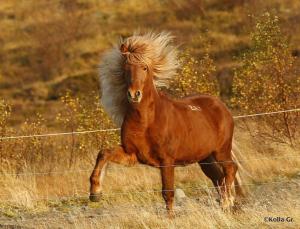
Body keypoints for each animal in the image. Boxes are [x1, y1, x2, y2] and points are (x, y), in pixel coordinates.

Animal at [89, 31, 244, 214]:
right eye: (126, 68)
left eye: (145, 68)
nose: (134, 95)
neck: (147, 121)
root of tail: (221, 106)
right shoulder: (131, 155)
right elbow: (103, 153)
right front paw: (95, 193)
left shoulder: (167, 161)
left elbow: (168, 192)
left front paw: (170, 217)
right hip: (206, 158)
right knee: (219, 178)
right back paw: (224, 205)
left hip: (221, 151)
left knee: (231, 169)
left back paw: (227, 203)